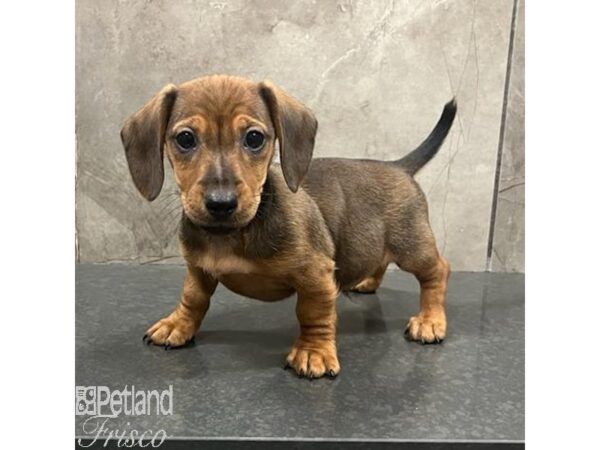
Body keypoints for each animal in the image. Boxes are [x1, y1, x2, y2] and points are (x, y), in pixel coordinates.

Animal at [119, 75, 458, 378]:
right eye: (185, 139)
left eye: (254, 138)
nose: (221, 203)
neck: (232, 236)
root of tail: (399, 166)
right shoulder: (199, 269)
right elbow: (192, 299)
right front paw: (177, 325)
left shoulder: (317, 276)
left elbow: (314, 314)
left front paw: (313, 351)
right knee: (379, 260)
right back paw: (367, 282)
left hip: (412, 247)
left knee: (437, 271)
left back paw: (430, 320)